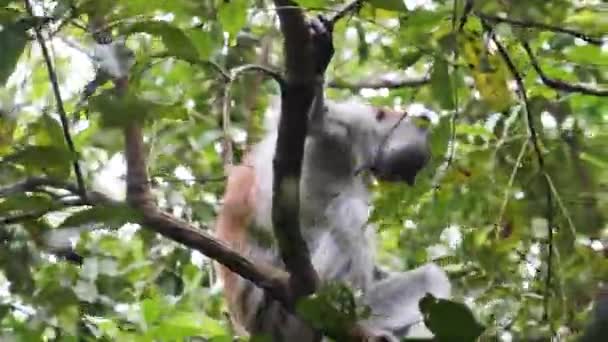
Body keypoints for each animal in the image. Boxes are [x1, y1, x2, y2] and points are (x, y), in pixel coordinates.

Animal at [215, 16, 452, 342]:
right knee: (349, 212)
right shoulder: (352, 123)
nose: (410, 181)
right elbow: (309, 121)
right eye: (411, 169)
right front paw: (320, 55)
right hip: (282, 311)